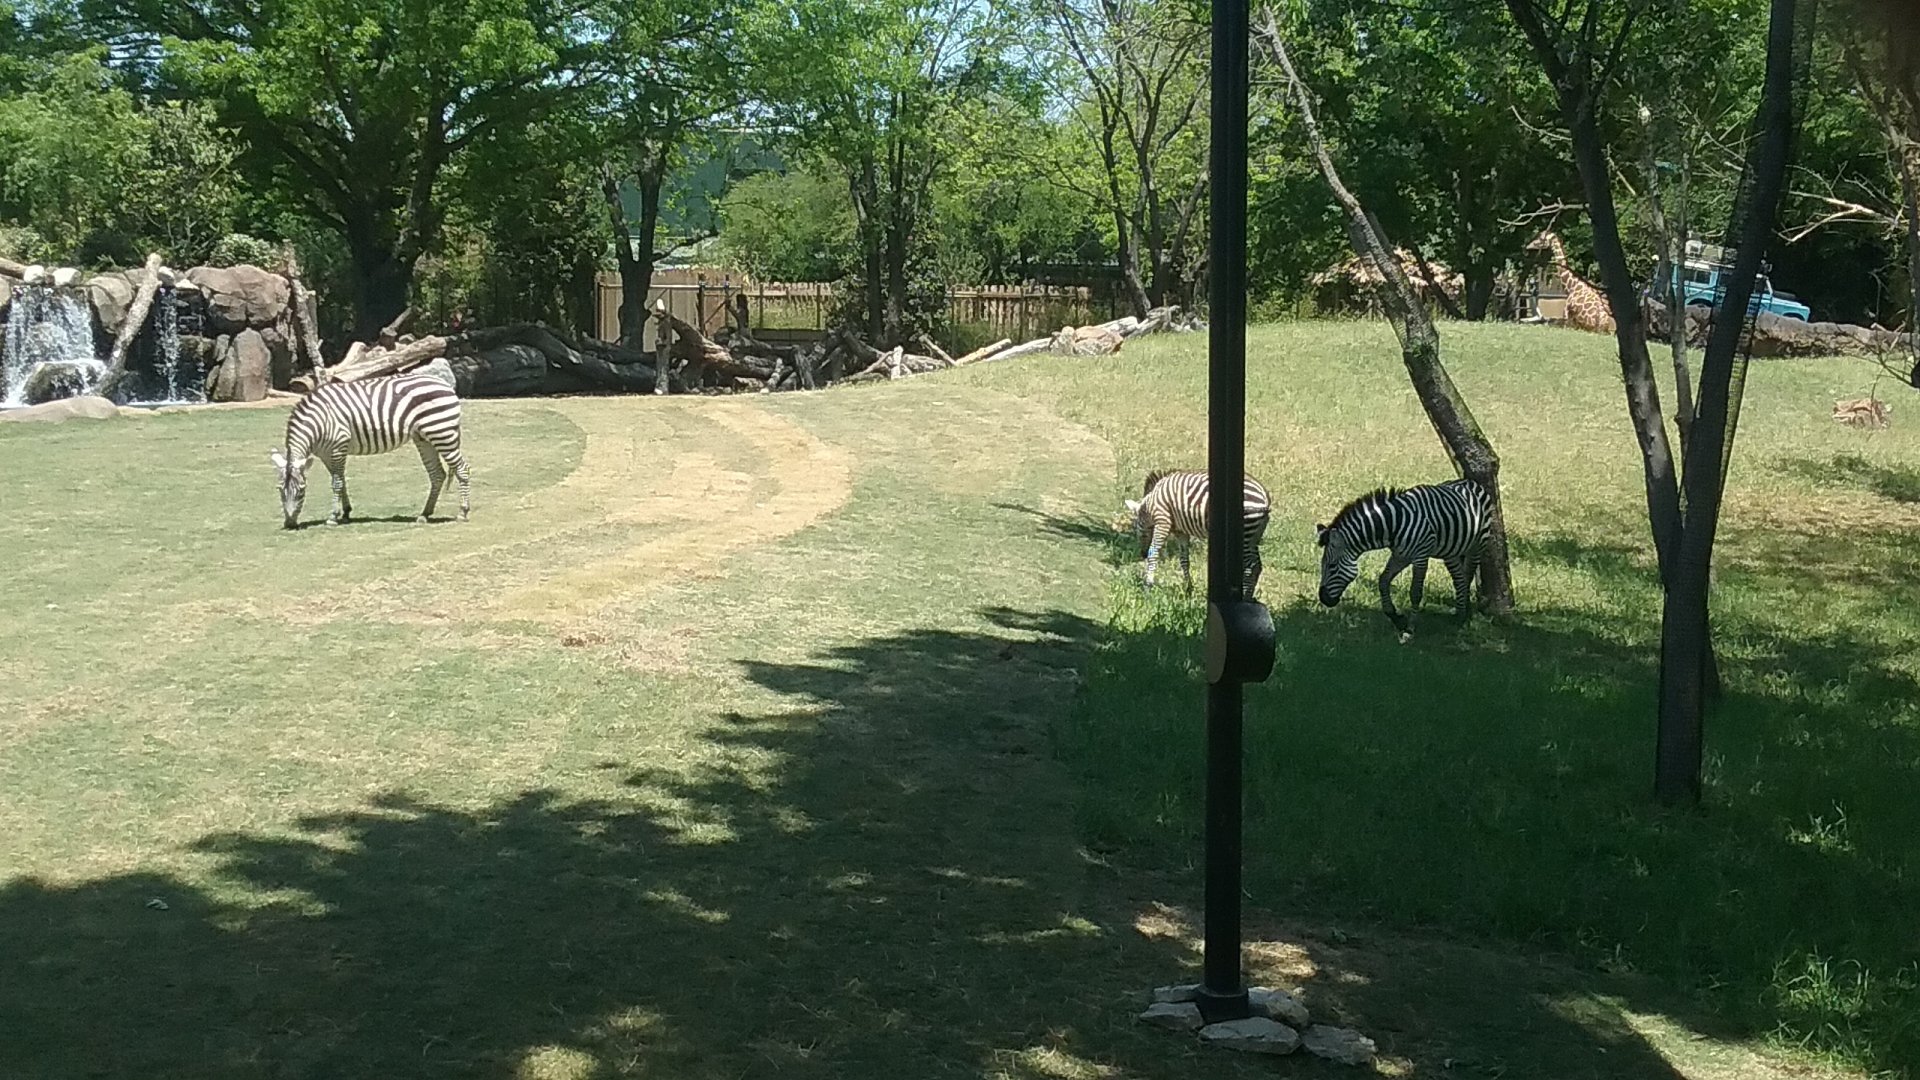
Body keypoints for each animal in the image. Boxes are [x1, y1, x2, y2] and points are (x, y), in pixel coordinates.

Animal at [269, 369, 471, 530]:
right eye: (279, 489)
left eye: (302, 490)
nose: (290, 524)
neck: (319, 420)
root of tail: (445, 384)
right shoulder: (326, 454)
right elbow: (341, 480)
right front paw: (346, 512)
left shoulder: (339, 445)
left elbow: (337, 482)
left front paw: (333, 517)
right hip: (424, 437)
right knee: (437, 474)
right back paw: (424, 514)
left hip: (441, 432)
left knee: (462, 469)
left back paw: (462, 512)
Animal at [1122, 469, 1271, 598]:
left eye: (1137, 531)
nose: (1142, 554)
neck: (1149, 506)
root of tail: (1265, 496)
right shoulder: (1181, 531)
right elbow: (1184, 560)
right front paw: (1188, 590)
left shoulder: (1162, 521)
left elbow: (1154, 553)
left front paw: (1148, 587)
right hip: (1254, 536)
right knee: (1257, 565)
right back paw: (1249, 597)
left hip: (1245, 533)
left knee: (1251, 565)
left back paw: (1245, 597)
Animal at [1315, 477, 1492, 639]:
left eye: (1331, 566)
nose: (1323, 599)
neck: (1393, 525)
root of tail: (1468, 481)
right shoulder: (1400, 556)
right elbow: (1383, 581)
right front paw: (1397, 618)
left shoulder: (1420, 556)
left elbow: (1415, 592)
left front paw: (1410, 629)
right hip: (1450, 552)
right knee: (1459, 579)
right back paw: (1459, 615)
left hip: (1477, 544)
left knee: (1468, 576)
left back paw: (1465, 616)